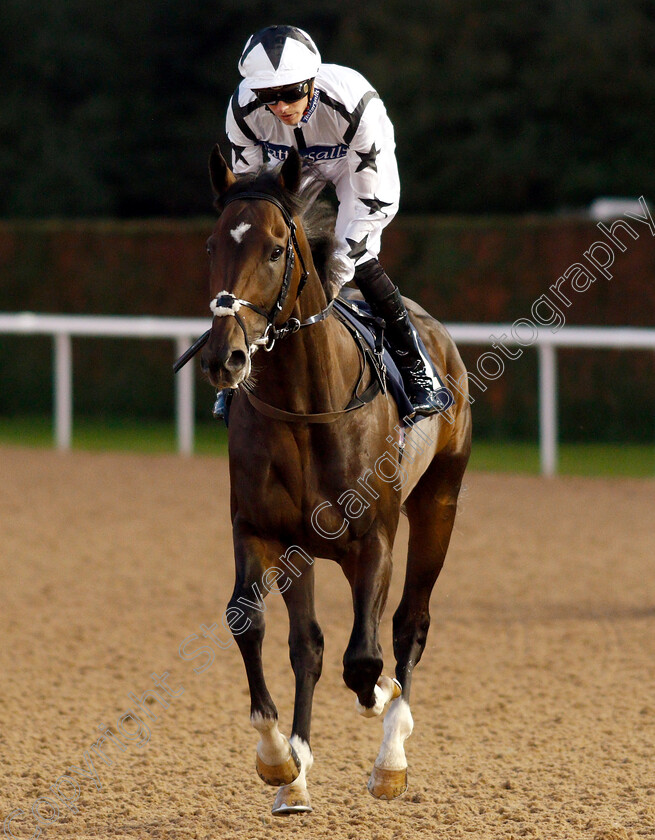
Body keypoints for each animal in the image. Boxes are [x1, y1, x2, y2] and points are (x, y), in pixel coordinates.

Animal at [196, 144, 472, 812]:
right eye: (213, 244)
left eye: (275, 248)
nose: (224, 357)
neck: (305, 408)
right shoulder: (261, 530)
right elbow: (251, 623)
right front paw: (279, 758)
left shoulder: (373, 539)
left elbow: (365, 659)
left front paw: (381, 703)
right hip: (302, 550)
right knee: (309, 645)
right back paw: (297, 771)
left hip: (439, 501)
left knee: (409, 624)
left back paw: (391, 753)